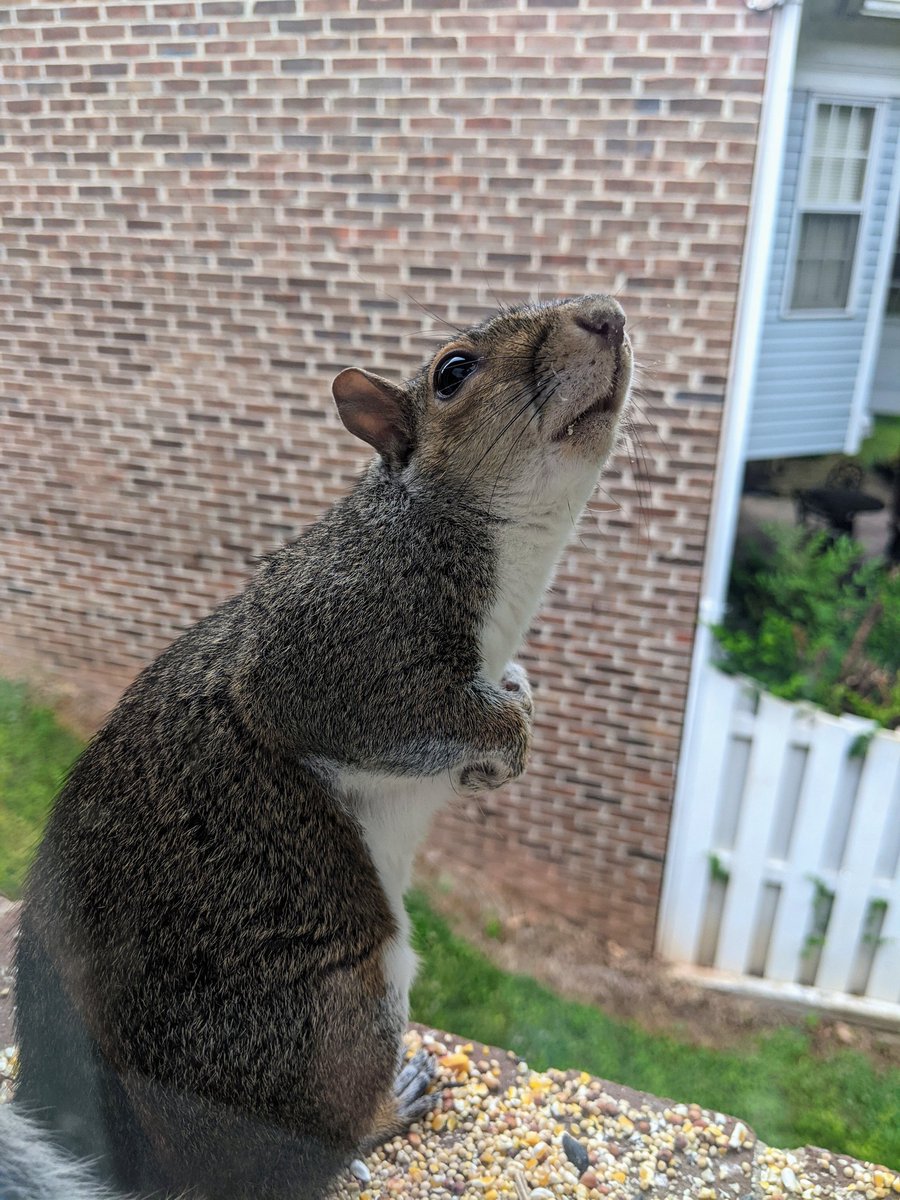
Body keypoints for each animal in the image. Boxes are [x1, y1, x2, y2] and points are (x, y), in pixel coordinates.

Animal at [9, 294, 633, 1200]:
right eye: (453, 372)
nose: (607, 316)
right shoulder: (339, 645)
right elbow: (385, 714)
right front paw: (506, 736)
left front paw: (513, 714)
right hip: (329, 1018)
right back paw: (384, 1110)